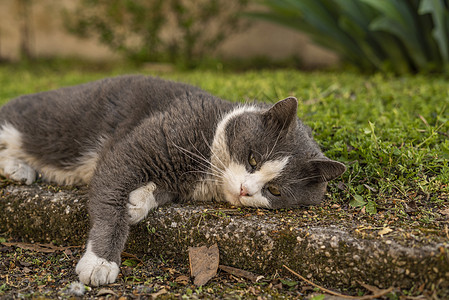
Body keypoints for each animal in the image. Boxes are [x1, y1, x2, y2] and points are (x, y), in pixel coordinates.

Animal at [0, 75, 346, 286]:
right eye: (252, 159)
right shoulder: (130, 151)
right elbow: (110, 195)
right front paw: (101, 261)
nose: (245, 190)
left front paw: (137, 203)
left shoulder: (177, 181)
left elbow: (160, 191)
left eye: (274, 190)